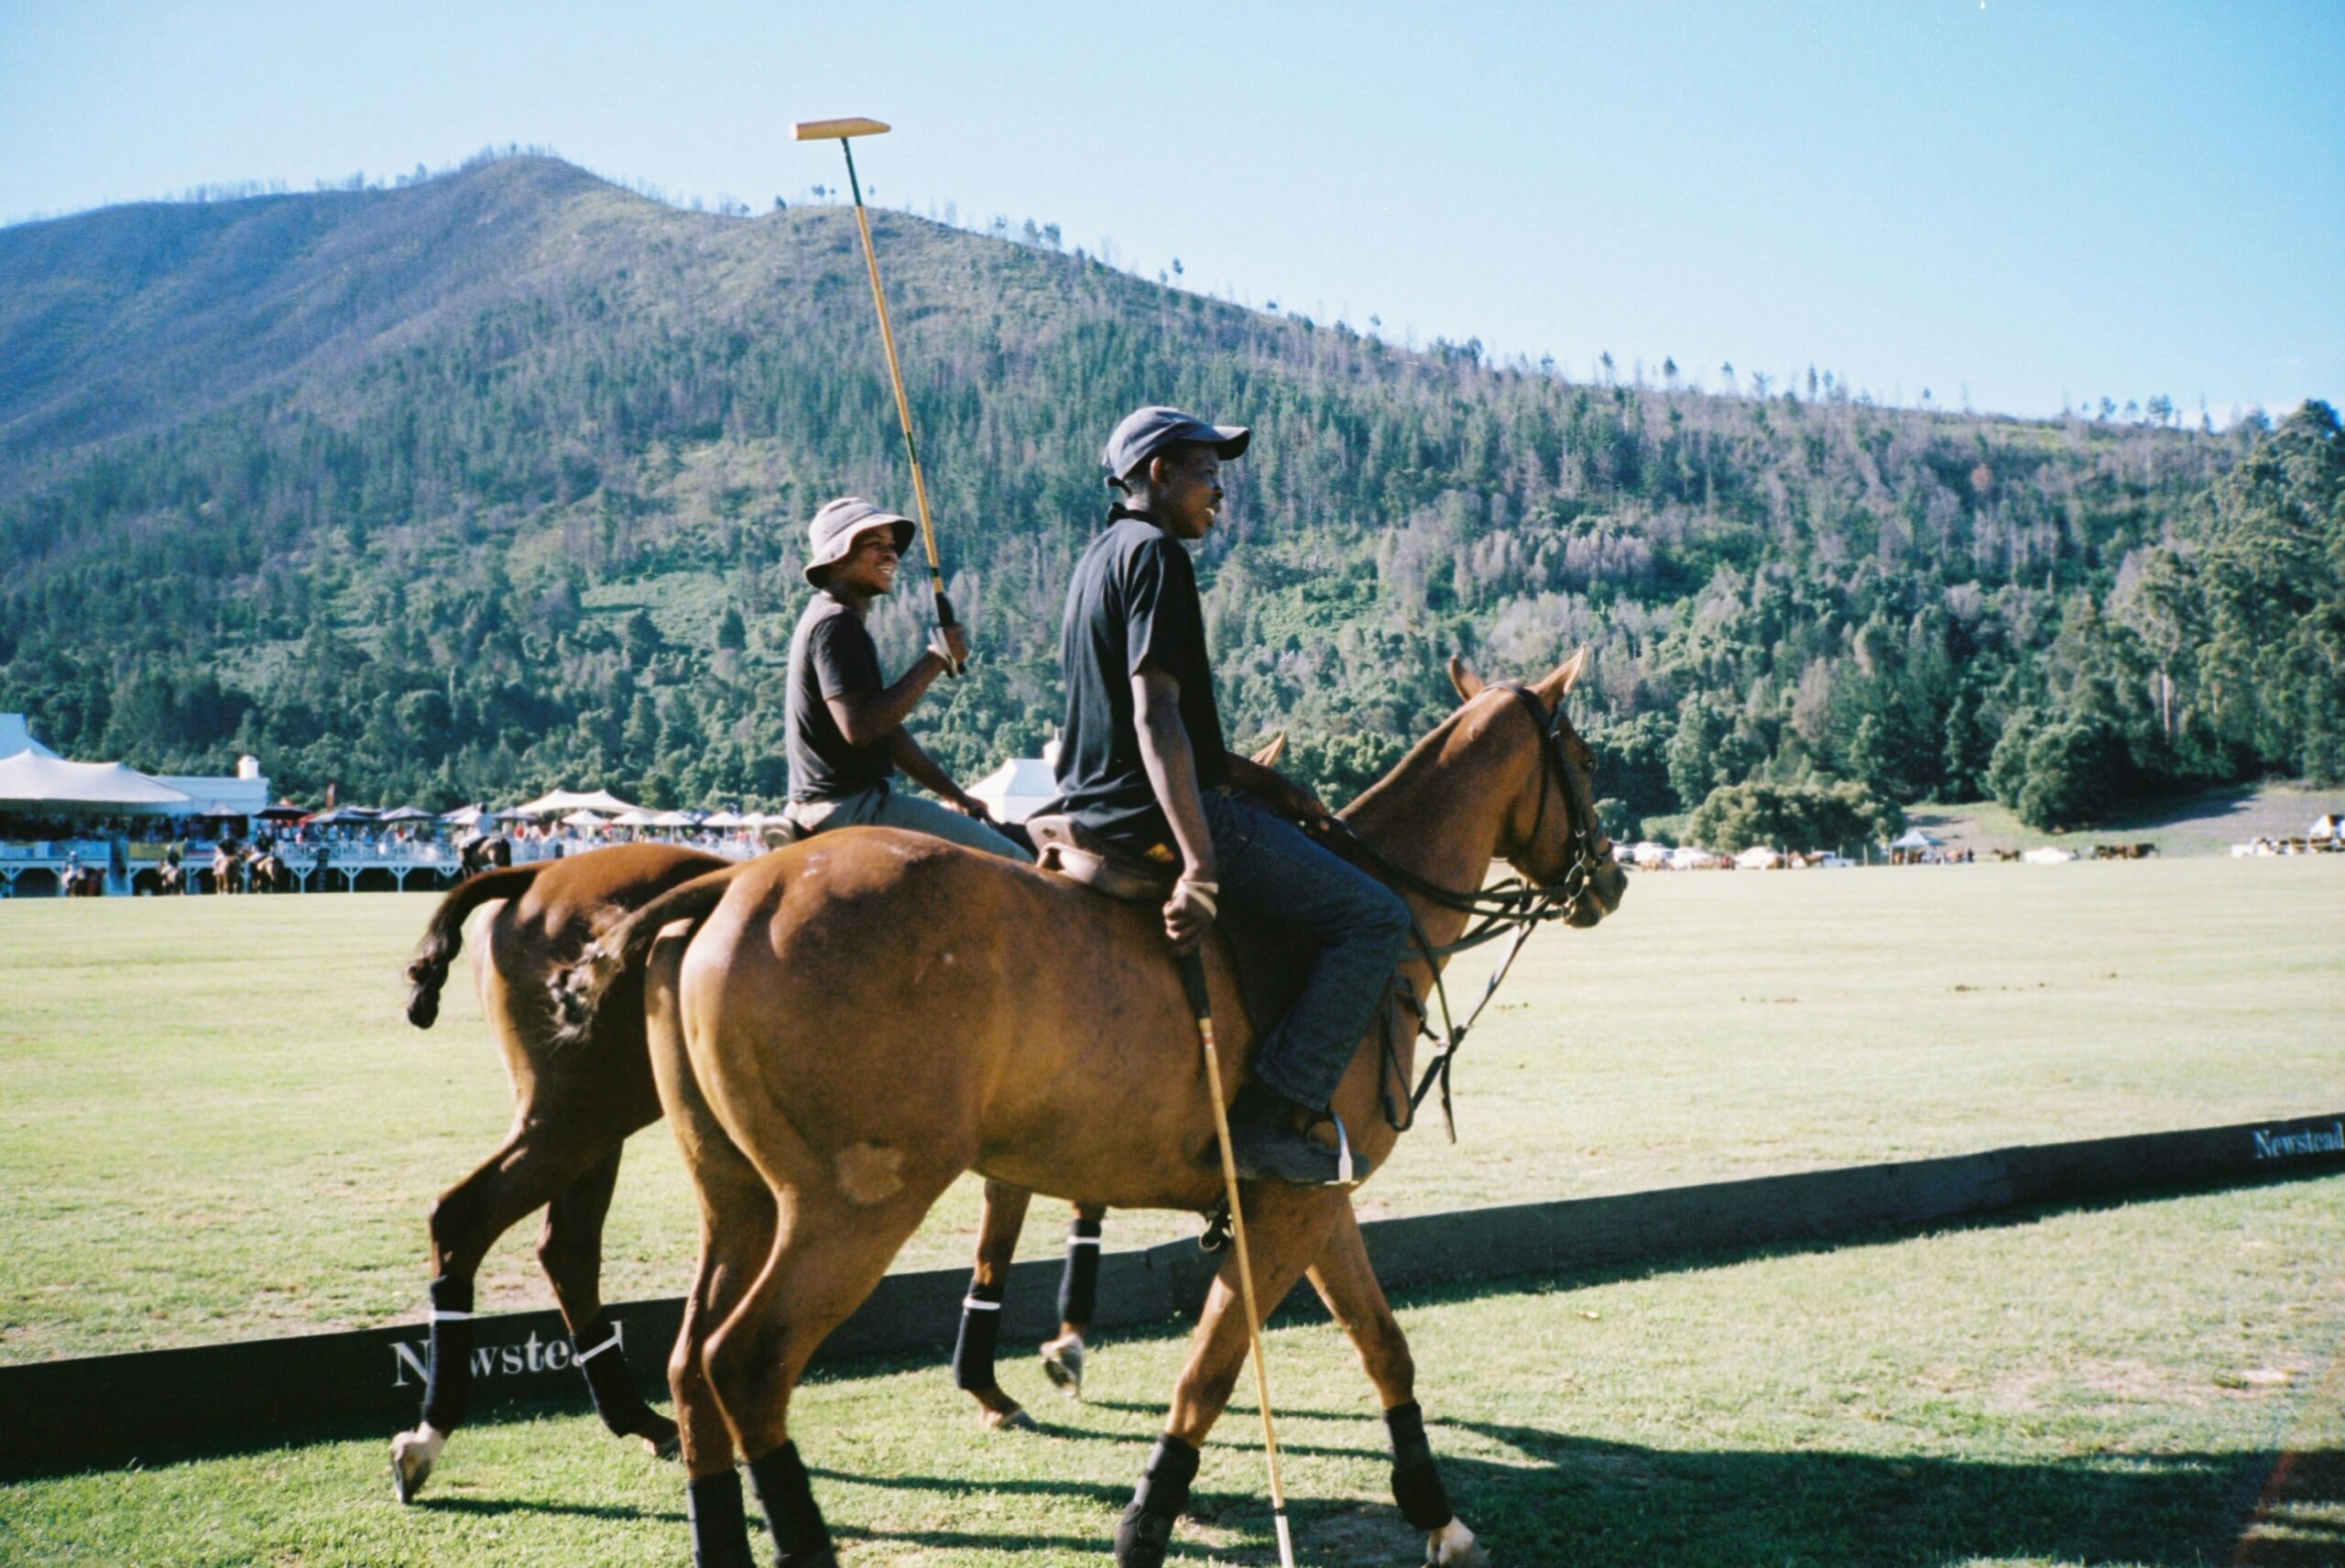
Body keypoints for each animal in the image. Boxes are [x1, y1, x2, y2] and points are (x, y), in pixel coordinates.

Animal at [562, 647, 1631, 1565]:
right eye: (1581, 757)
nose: (1612, 877)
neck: (1388, 917)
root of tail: (728, 886)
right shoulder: (1282, 1207)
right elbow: (1209, 1371)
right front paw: (1146, 1519)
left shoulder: (1313, 1195)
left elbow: (1384, 1346)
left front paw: (1437, 1515)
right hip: (854, 1201)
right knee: (747, 1361)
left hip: (737, 1194)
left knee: (690, 1361)